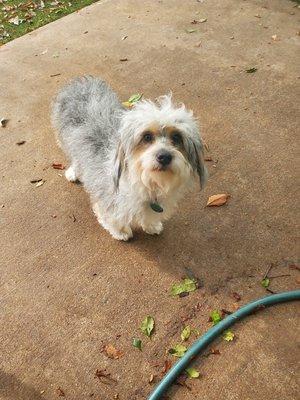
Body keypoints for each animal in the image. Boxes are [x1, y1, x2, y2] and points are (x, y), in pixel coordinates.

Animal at [51, 76, 206, 241]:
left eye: (177, 137)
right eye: (147, 137)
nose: (164, 157)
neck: (147, 182)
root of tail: (80, 81)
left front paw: (151, 225)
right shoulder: (108, 198)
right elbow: (112, 216)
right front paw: (121, 231)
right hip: (66, 140)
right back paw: (73, 173)